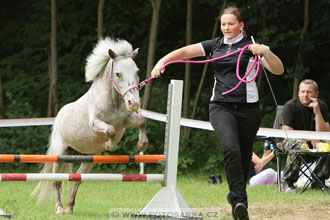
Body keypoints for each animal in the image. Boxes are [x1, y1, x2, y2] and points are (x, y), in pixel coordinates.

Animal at [31, 37, 148, 214]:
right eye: (118, 73)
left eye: (137, 71)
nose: (133, 103)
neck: (113, 101)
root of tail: (59, 115)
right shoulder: (95, 124)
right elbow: (110, 130)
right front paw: (109, 145)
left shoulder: (126, 121)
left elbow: (141, 121)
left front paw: (142, 144)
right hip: (60, 155)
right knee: (56, 181)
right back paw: (59, 209)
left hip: (88, 159)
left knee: (77, 180)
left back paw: (69, 208)